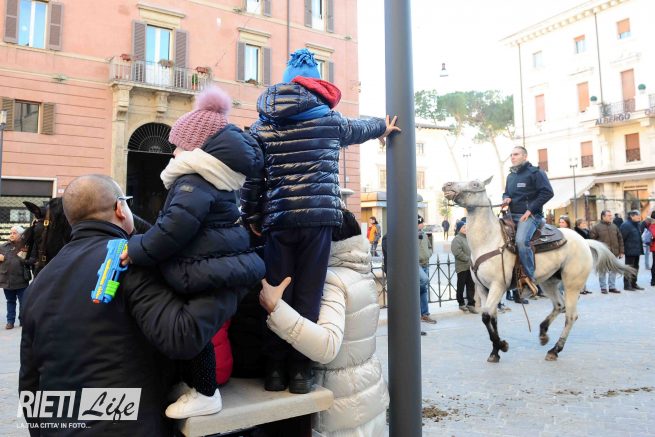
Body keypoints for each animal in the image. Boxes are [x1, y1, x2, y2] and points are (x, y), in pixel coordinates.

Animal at [442, 178, 635, 363]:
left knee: (570, 316)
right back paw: (543, 333)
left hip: (572, 285)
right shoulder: (483, 288)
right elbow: (490, 317)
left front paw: (502, 346)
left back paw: (555, 350)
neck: (488, 240)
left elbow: (487, 316)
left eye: (475, 184)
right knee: (559, 305)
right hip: (549, 282)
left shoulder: (498, 286)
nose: (447, 185)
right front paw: (495, 351)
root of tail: (584, 241)